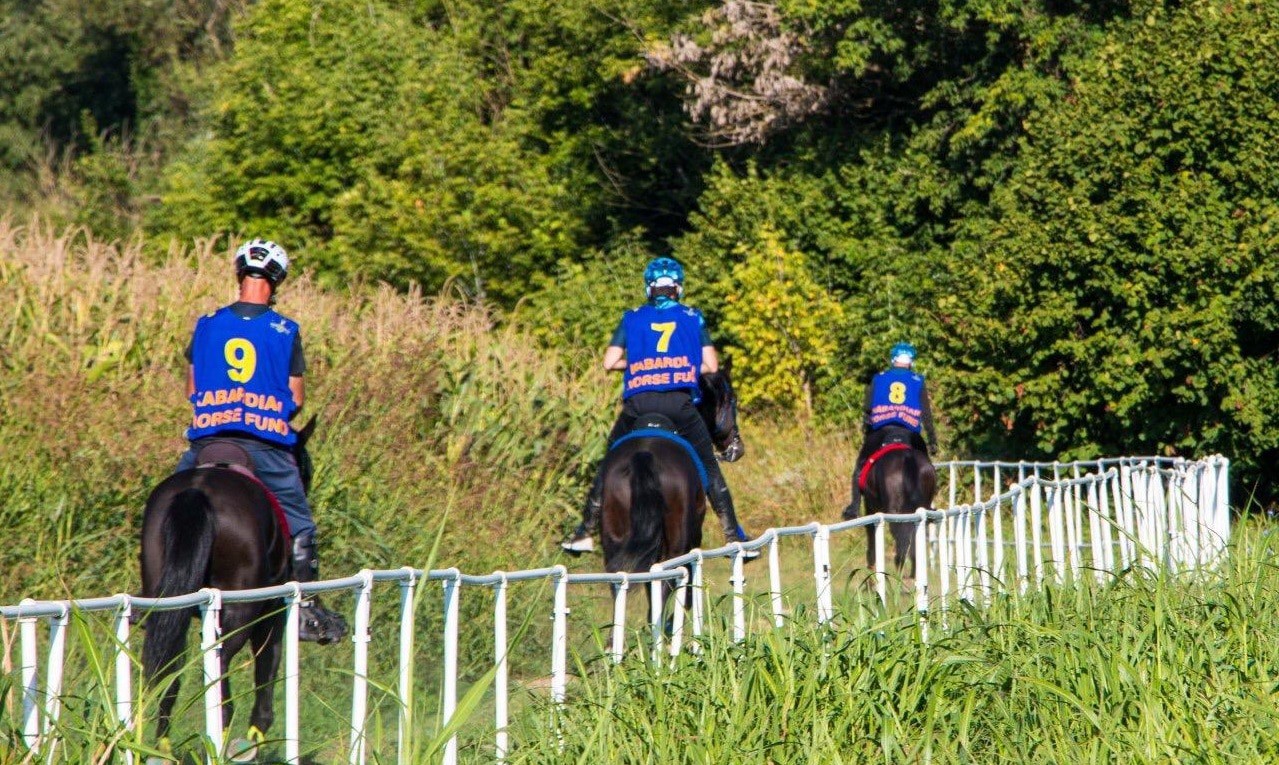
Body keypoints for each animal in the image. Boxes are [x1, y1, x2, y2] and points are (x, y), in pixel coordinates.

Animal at [140, 419, 324, 762]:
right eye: (306, 467)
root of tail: (198, 490)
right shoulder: (272, 615)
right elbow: (266, 673)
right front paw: (252, 741)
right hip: (243, 608)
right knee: (220, 658)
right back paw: (226, 735)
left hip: (169, 600)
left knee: (170, 664)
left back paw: (162, 747)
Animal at [601, 368, 746, 614]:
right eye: (732, 399)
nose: (737, 447)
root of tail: (645, 456)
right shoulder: (693, 536)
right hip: (678, 539)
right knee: (668, 580)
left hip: (615, 538)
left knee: (621, 583)